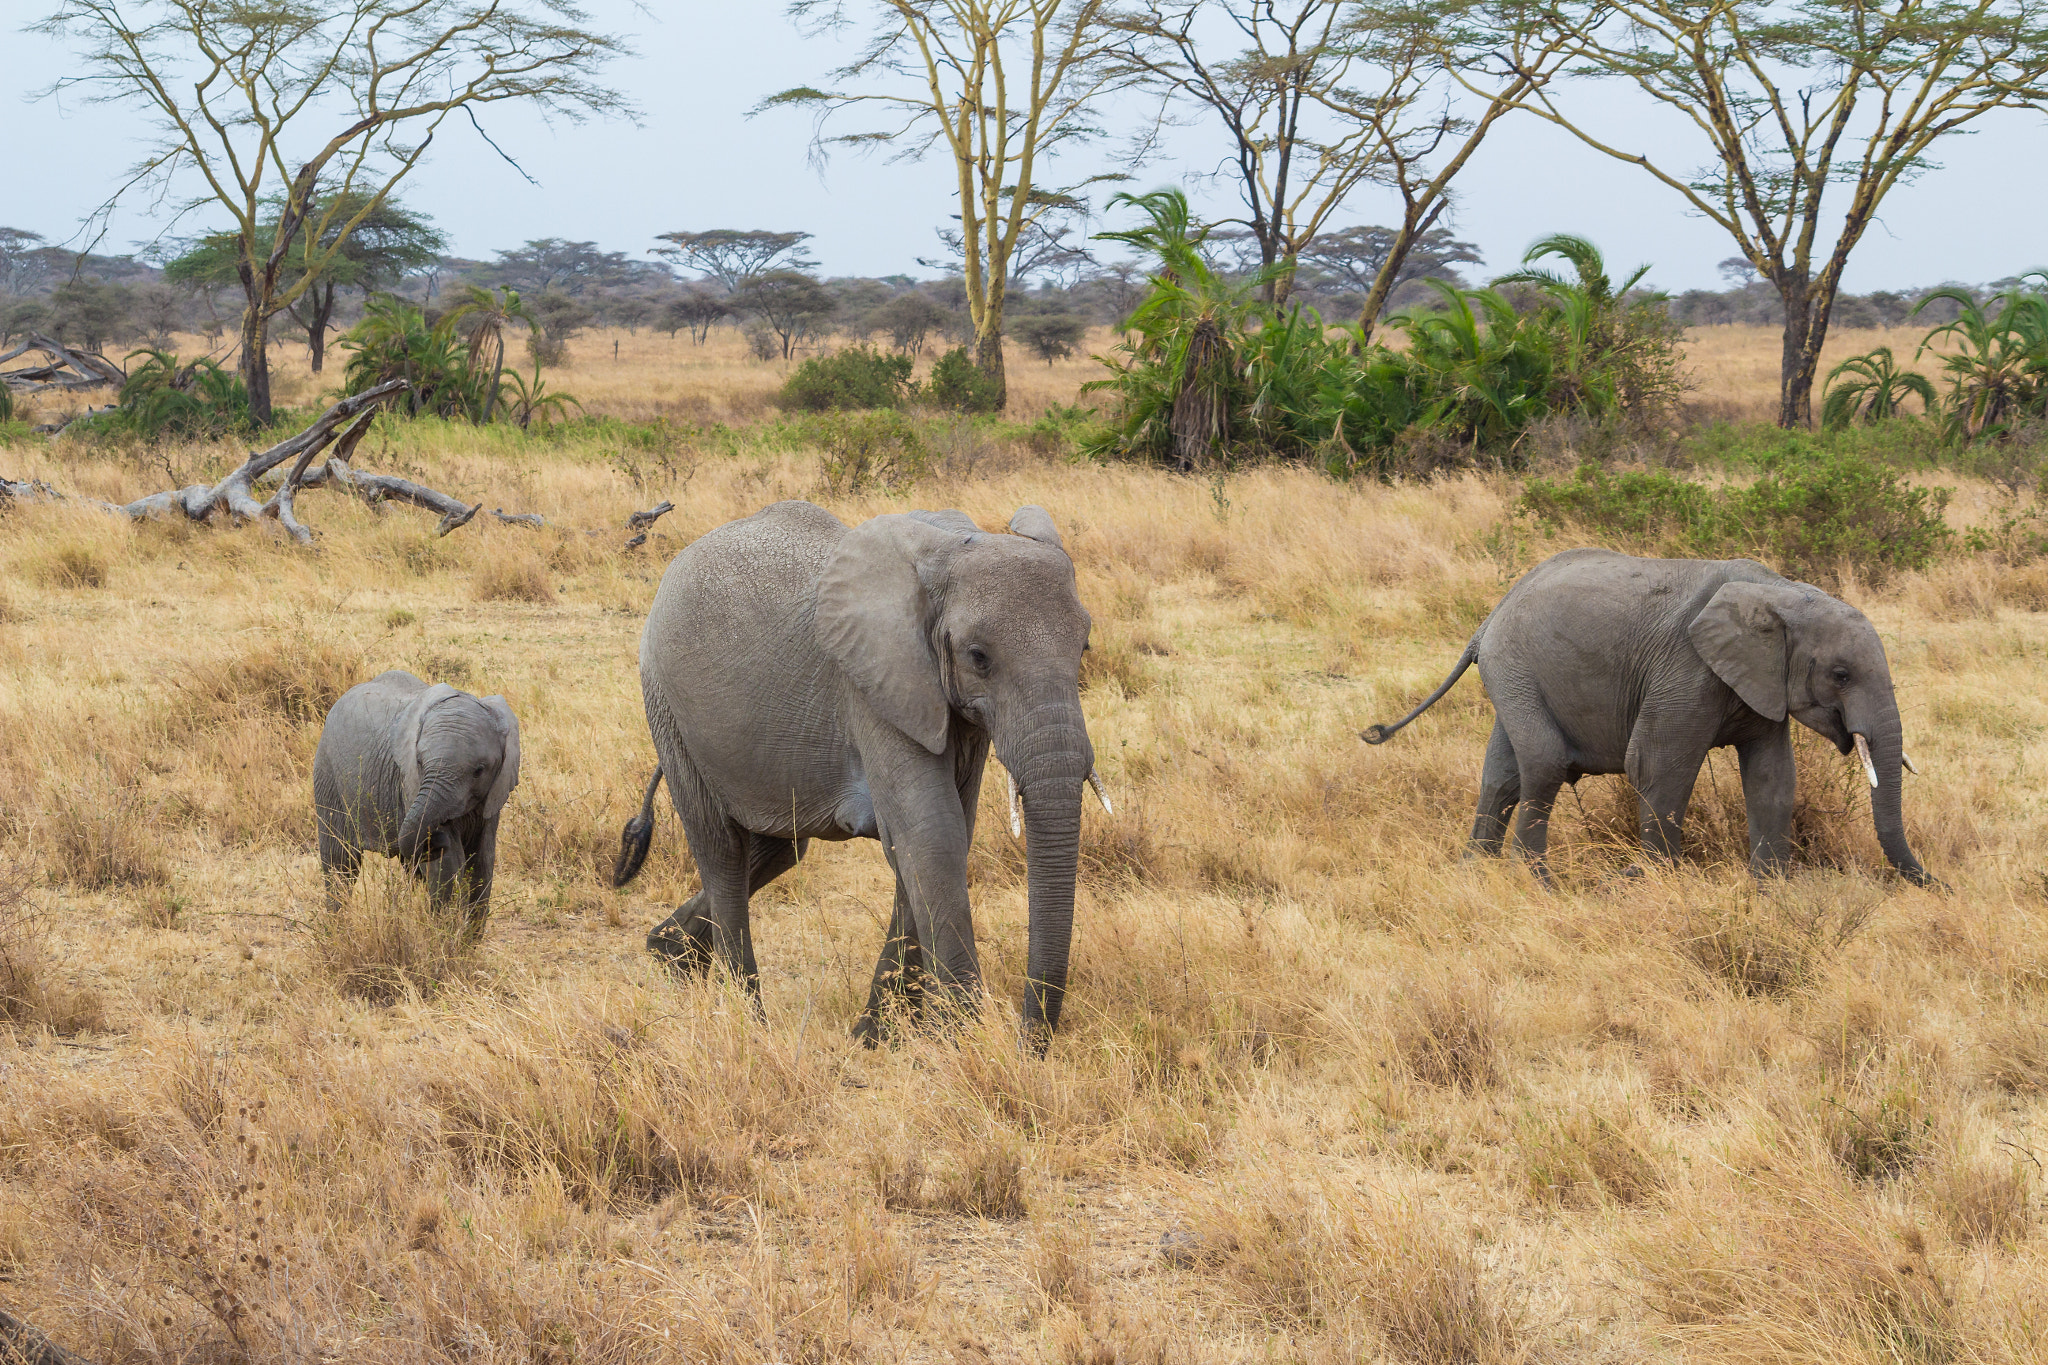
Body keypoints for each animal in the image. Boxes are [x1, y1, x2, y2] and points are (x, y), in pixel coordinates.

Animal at [313, 670, 522, 938]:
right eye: (420, 762)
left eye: (479, 771)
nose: (435, 838)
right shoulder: (410, 783)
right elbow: (447, 866)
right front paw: (445, 942)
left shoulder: (492, 794)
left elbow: (482, 861)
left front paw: (466, 943)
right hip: (327, 772)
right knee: (341, 862)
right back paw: (338, 932)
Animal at [610, 500, 1109, 1049]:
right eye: (979, 657)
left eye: (1083, 648)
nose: (1026, 1041)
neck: (947, 552)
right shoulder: (872, 687)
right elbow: (931, 835)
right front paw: (963, 1039)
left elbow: (936, 835)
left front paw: (877, 1037)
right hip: (665, 702)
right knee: (720, 848)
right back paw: (748, 1020)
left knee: (777, 849)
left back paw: (669, 956)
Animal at [1362, 548, 1934, 886]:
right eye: (1840, 674)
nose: (1939, 884)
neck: (1782, 592)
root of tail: (1487, 620)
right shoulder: (1687, 668)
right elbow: (1657, 767)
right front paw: (1658, 883)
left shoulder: (1760, 681)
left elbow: (1773, 777)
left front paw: (1769, 889)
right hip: (1514, 665)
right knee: (1543, 765)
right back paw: (1538, 882)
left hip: (1515, 675)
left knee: (1503, 774)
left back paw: (1474, 871)